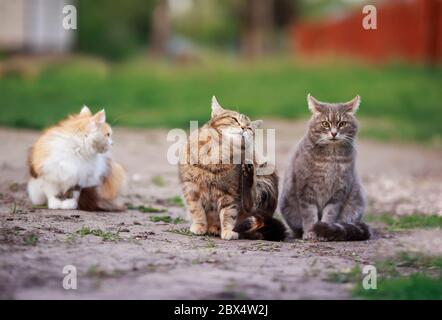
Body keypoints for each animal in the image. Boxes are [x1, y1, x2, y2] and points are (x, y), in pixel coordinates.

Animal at [178, 96, 284, 241]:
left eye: (249, 127)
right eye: (234, 119)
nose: (244, 127)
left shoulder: (230, 193)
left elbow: (229, 214)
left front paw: (228, 231)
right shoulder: (191, 188)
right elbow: (197, 210)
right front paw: (199, 226)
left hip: (265, 179)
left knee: (250, 206)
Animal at [280, 94, 370, 241]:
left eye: (342, 124)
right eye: (325, 124)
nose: (333, 133)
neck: (331, 159)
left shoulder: (339, 192)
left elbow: (330, 214)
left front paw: (325, 230)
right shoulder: (305, 190)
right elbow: (309, 215)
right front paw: (310, 232)